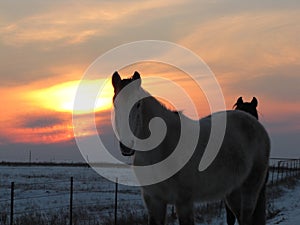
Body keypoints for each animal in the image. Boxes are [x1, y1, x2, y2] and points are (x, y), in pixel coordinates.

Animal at [111, 71, 270, 225]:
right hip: (233, 192)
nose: (126, 146)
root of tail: (256, 125)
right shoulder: (154, 203)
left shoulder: (184, 202)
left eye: (138, 104)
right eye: (115, 105)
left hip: (250, 189)